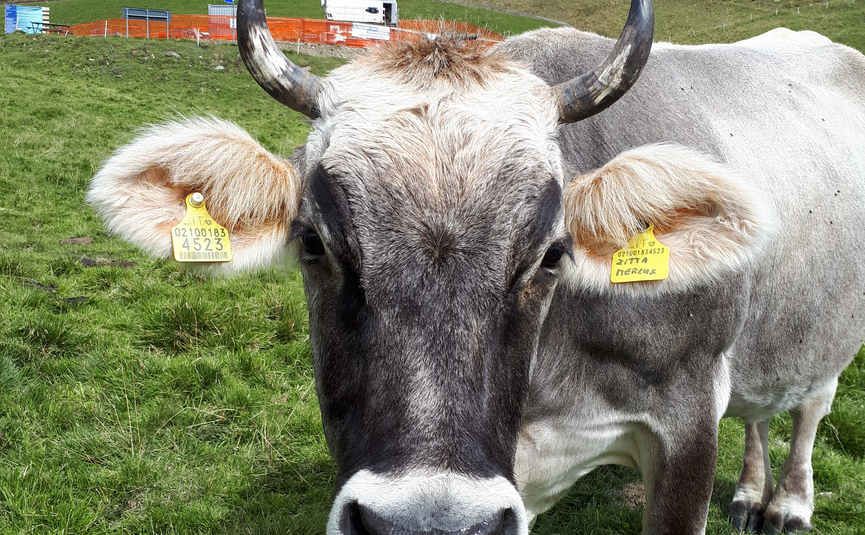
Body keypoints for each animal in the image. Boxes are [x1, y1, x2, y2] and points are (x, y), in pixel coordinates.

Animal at [85, 0, 865, 532]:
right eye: (312, 242)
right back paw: (749, 491)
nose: (425, 524)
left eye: (552, 254)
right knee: (760, 409)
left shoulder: (688, 417)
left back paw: (787, 502)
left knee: (807, 407)